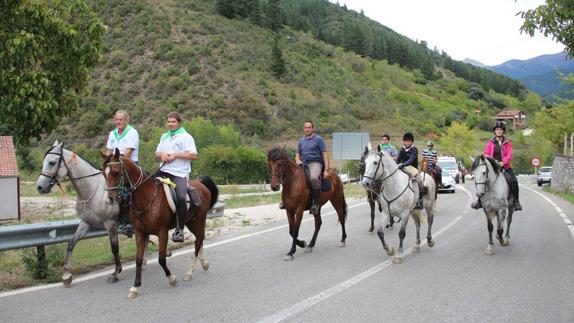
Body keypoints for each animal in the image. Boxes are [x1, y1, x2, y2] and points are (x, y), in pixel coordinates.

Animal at [35, 140, 126, 288]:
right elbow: (71, 243)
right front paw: (67, 274)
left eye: (52, 162)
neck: (93, 191)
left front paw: (116, 272)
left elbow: (114, 248)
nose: (40, 187)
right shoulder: (86, 223)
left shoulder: (111, 225)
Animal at [102, 148, 219, 300]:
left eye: (115, 172)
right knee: (199, 240)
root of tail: (201, 185)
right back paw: (204, 264)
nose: (109, 199)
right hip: (190, 222)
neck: (147, 198)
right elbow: (138, 260)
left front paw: (172, 279)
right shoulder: (140, 233)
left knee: (198, 240)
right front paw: (135, 287)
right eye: (103, 172)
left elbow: (161, 259)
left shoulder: (162, 232)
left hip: (198, 220)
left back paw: (189, 272)